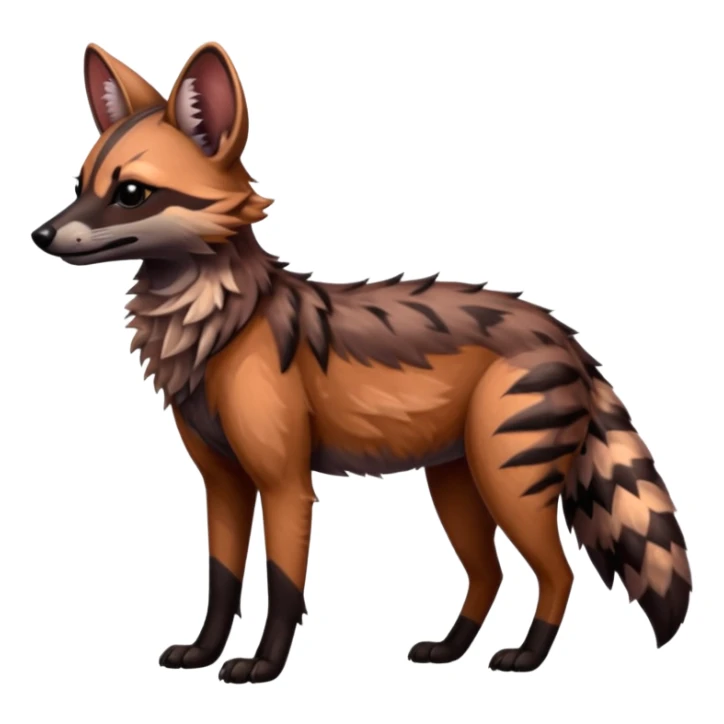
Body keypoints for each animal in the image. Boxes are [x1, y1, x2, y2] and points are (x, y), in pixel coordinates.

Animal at [32, 42, 691, 683]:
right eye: (79, 185)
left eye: (131, 194)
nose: (40, 235)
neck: (215, 329)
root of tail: (562, 332)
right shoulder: (221, 481)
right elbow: (222, 582)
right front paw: (203, 652)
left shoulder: (285, 484)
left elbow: (282, 586)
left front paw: (264, 667)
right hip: (457, 486)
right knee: (489, 575)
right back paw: (450, 650)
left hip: (509, 486)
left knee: (558, 575)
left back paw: (526, 658)